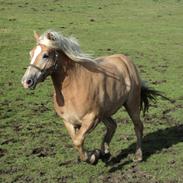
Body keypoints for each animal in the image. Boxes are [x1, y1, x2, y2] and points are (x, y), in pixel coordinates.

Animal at [21, 30, 167, 165]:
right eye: (30, 53)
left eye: (45, 55)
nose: (26, 81)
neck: (73, 88)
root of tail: (126, 60)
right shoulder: (68, 121)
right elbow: (76, 141)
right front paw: (96, 154)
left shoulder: (91, 118)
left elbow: (78, 140)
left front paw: (93, 156)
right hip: (105, 111)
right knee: (112, 125)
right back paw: (105, 153)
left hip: (131, 104)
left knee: (138, 126)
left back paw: (137, 156)